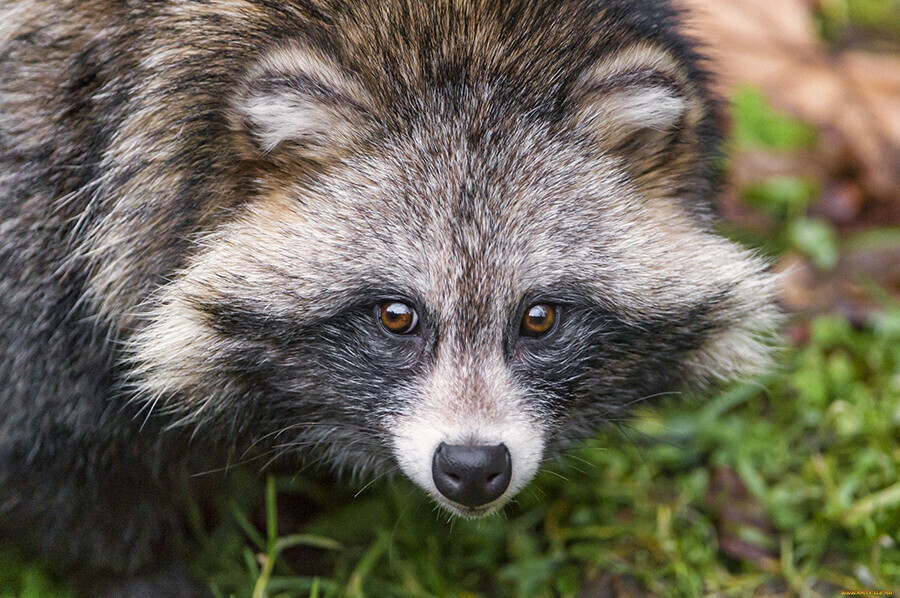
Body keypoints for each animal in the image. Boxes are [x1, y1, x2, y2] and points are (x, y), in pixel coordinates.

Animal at [0, 0, 776, 592]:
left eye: (540, 318)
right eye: (396, 316)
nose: (473, 468)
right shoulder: (37, 239)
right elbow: (83, 490)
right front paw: (143, 573)